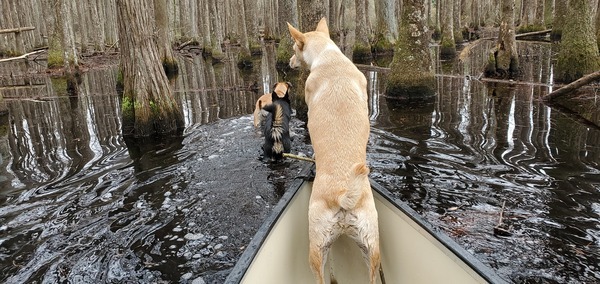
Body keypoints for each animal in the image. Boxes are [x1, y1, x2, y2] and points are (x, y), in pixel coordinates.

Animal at [288, 18, 380, 284]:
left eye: (294, 48)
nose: (289, 61)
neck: (329, 57)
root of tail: (342, 194)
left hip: (317, 250)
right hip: (371, 247)